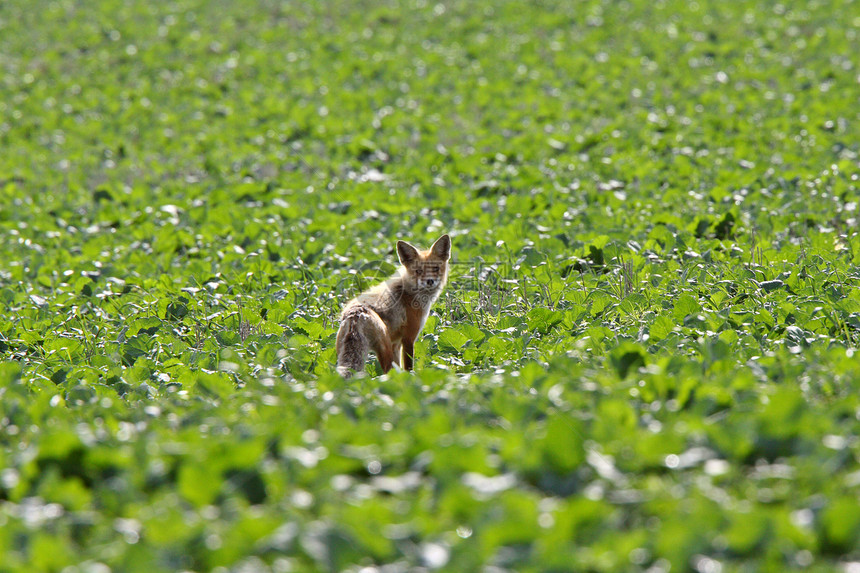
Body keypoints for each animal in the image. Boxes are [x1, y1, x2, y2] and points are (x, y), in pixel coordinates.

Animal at [338, 235, 454, 378]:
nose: (430, 281)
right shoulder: (409, 338)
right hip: (385, 349)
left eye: (436, 268)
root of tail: (355, 314)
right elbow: (408, 368)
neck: (410, 292)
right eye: (418, 271)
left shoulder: (396, 343)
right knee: (387, 375)